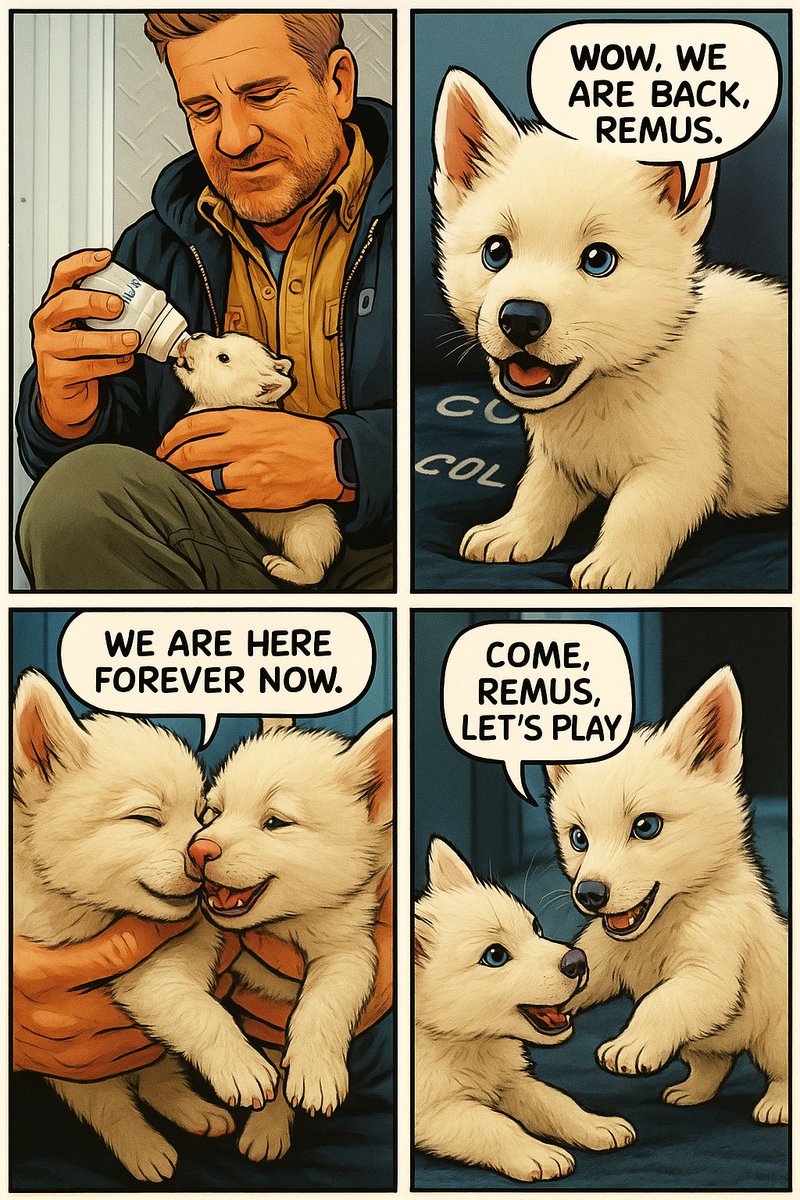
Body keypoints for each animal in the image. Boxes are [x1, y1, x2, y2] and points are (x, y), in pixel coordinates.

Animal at [13, 671, 281, 1180]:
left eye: (201, 815)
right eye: (144, 817)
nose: (201, 853)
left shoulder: (190, 946)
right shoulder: (128, 974)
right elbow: (191, 1006)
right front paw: (243, 1063)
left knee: (159, 1076)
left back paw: (193, 1110)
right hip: (77, 1075)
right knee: (108, 1104)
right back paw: (142, 1148)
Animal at [186, 715, 393, 1162]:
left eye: (276, 822)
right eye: (214, 812)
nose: (199, 850)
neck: (281, 924)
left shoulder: (348, 943)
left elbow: (326, 1002)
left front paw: (315, 1072)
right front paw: (265, 1118)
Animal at [415, 838, 635, 1181]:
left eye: (536, 929)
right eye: (495, 956)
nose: (578, 961)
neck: (467, 1043)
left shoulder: (509, 1080)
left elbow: (553, 1101)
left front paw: (597, 1124)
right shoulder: (433, 1108)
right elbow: (492, 1124)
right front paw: (539, 1154)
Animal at [433, 69, 787, 589]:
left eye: (598, 260)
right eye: (495, 251)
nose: (520, 317)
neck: (608, 388)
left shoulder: (685, 461)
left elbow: (638, 508)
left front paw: (615, 562)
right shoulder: (562, 457)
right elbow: (539, 488)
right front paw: (513, 529)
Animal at [547, 666, 788, 1124]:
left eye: (646, 826)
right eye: (578, 838)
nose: (589, 894)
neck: (662, 923)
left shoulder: (712, 968)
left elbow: (665, 998)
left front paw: (630, 1044)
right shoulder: (602, 955)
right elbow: (580, 971)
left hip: (775, 1031)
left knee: (781, 1068)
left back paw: (779, 1104)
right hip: (702, 1044)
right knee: (713, 1061)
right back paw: (692, 1091)